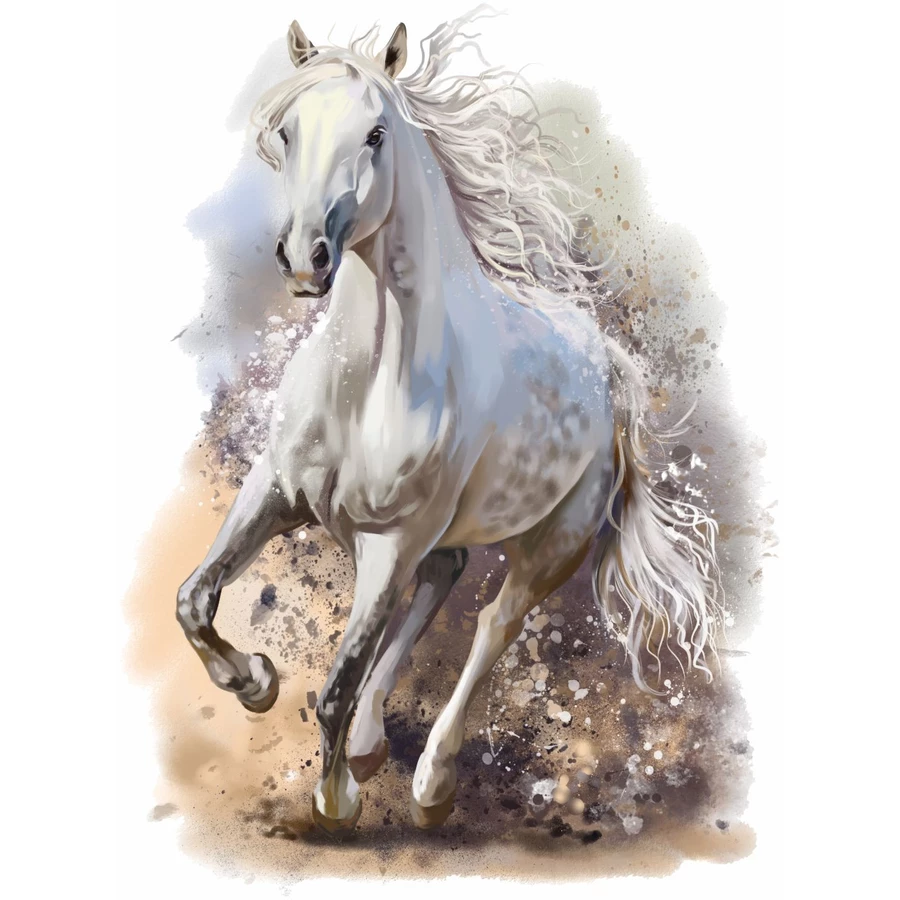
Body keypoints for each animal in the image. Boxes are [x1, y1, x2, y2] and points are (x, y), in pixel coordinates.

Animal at [175, 11, 721, 837]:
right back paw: (372, 742)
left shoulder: (390, 542)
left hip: (554, 543)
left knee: (493, 622)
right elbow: (194, 601)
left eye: (374, 134)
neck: (367, 384)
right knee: (446, 577)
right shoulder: (276, 489)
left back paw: (431, 781)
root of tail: (611, 368)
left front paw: (337, 802)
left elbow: (335, 686)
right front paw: (257, 682)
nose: (305, 260)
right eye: (288, 131)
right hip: (443, 535)